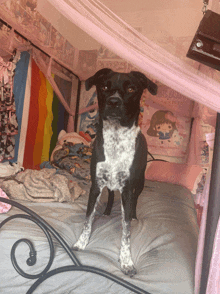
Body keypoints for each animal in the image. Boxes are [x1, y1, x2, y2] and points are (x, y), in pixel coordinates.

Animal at [73, 68, 157, 276]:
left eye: (131, 88)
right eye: (104, 87)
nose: (113, 101)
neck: (116, 139)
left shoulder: (127, 189)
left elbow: (126, 230)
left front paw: (126, 261)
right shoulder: (95, 185)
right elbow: (88, 218)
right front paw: (81, 242)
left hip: (140, 183)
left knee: (134, 200)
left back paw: (133, 214)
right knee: (111, 194)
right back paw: (107, 211)